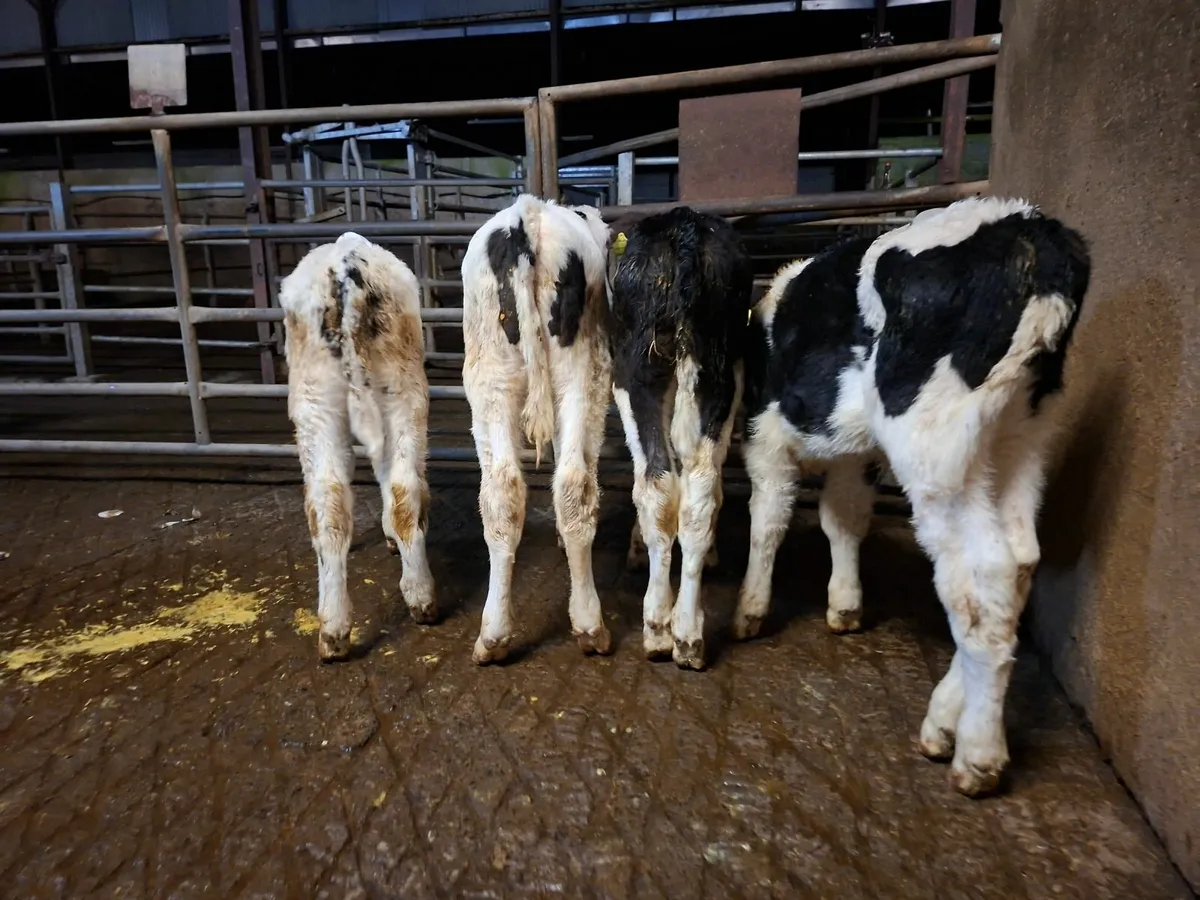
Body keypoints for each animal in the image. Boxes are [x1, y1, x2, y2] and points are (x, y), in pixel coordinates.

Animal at [461, 194, 614, 664]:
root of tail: (525, 216)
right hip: (580, 372)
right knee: (573, 484)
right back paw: (589, 625)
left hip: (490, 380)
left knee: (502, 492)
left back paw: (494, 634)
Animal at [734, 196, 1091, 795]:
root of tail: (1026, 224)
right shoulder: (853, 454)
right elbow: (843, 520)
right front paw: (845, 603)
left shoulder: (766, 436)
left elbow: (769, 519)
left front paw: (750, 609)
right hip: (1021, 433)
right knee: (1019, 561)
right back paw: (947, 718)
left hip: (934, 447)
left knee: (981, 572)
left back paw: (978, 752)